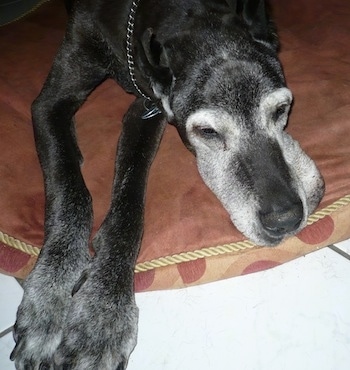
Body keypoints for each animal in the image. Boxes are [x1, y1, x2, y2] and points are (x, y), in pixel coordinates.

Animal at [10, 0, 324, 368]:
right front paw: (52, 295)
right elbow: (71, 191)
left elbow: (126, 212)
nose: (285, 219)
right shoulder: (50, 104)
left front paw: (101, 314)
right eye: (208, 132)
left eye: (282, 109)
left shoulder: (148, 110)